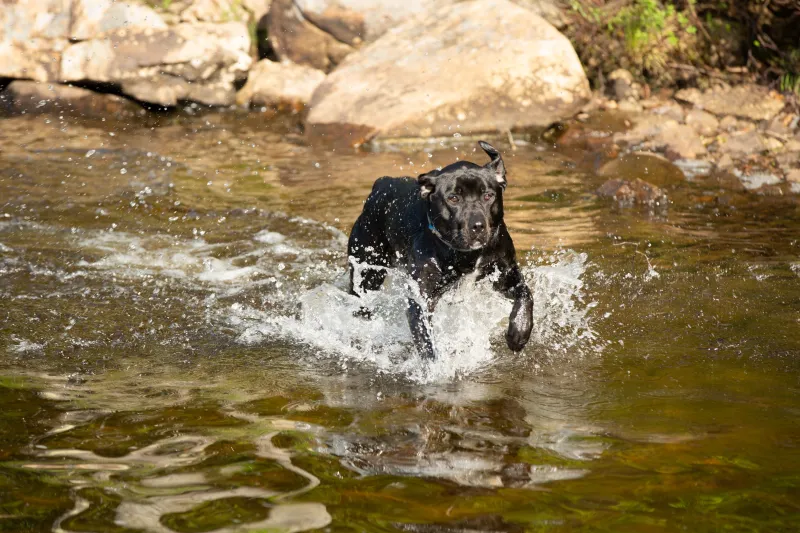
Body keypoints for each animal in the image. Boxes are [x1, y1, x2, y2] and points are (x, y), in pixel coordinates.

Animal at [346, 139, 536, 360]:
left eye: (488, 195)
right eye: (453, 198)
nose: (478, 225)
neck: (467, 255)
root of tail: (380, 184)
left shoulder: (506, 275)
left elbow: (526, 295)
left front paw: (519, 333)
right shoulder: (421, 300)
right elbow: (427, 343)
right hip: (367, 272)